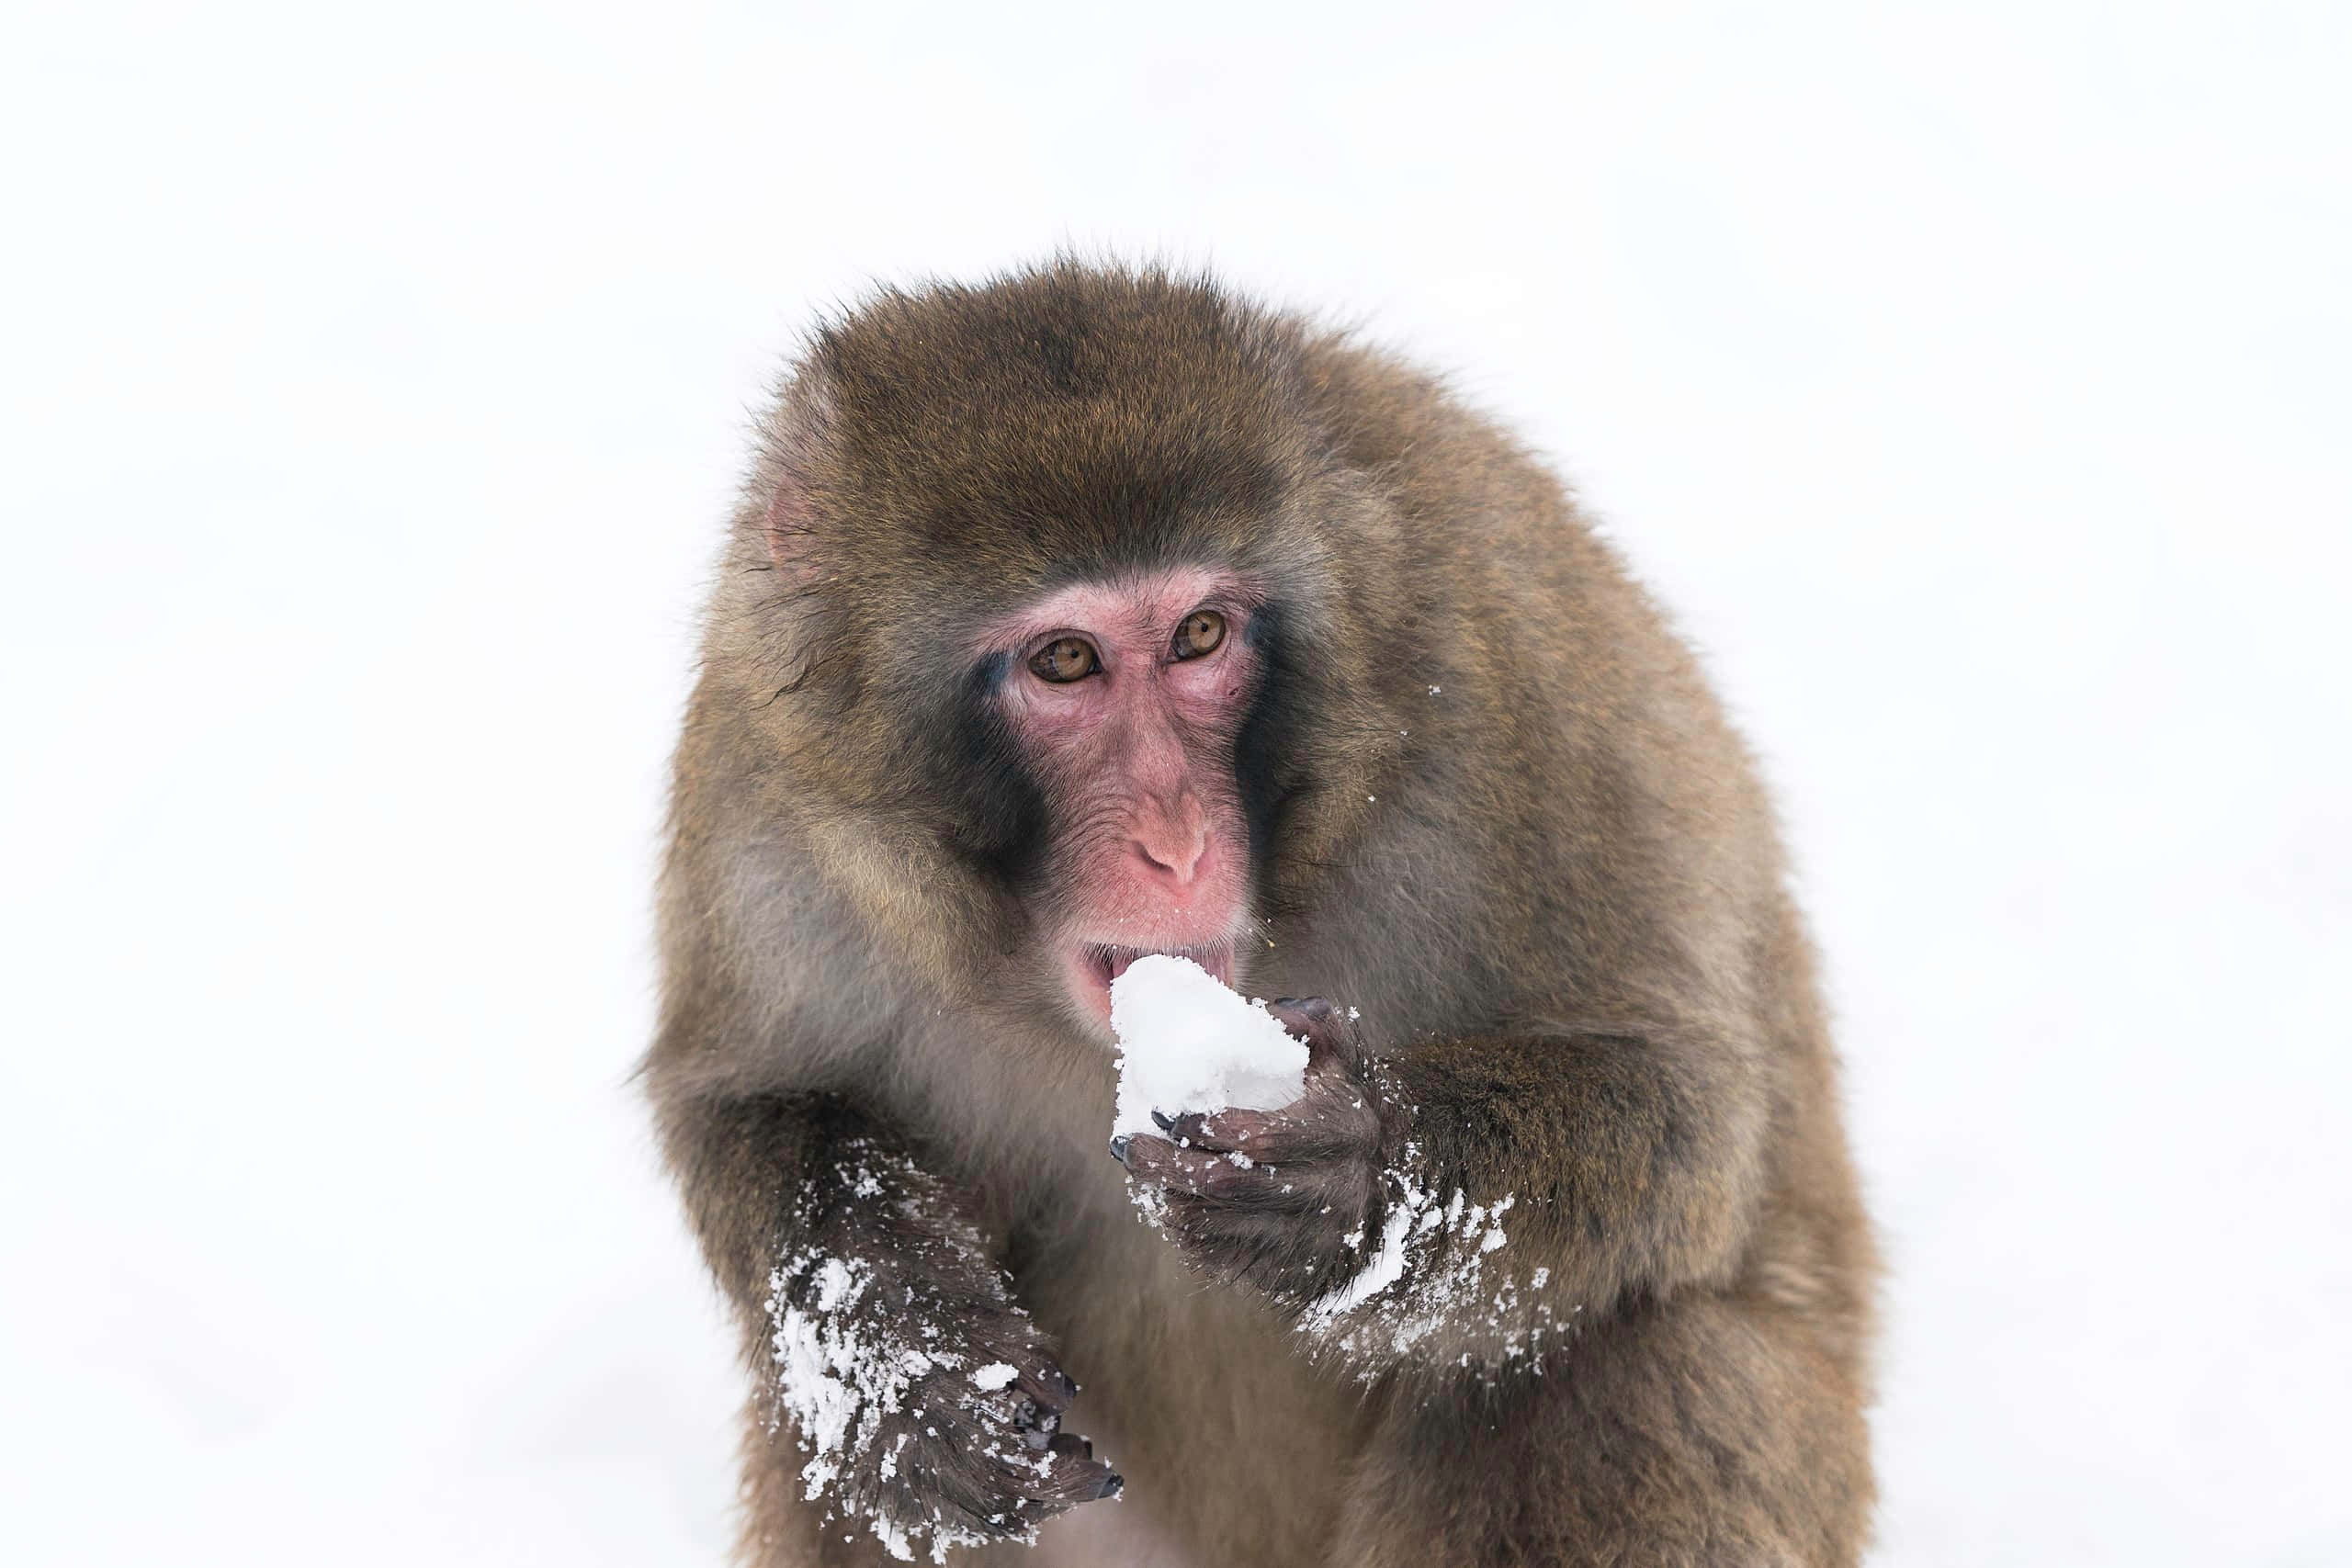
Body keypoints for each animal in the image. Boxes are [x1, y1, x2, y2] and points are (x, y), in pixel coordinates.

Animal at [643, 261, 1877, 1567]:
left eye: (1199, 635)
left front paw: (1359, 1172)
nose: (1177, 841)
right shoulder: (761, 793)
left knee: (1622, 1353)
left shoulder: (1506, 679)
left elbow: (1687, 1112)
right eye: (1065, 661)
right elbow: (748, 1102)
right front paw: (894, 1341)